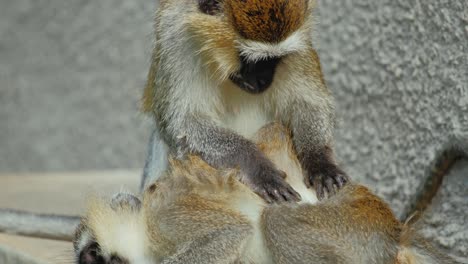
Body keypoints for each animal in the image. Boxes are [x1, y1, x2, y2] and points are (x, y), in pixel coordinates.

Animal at [74, 124, 458, 264]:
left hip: (354, 227)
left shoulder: (167, 217)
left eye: (92, 255)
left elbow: (229, 232)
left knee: (278, 222)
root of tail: (394, 230)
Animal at [141, 0, 350, 201]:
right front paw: (256, 166)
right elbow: (184, 125)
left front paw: (320, 161)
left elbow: (310, 103)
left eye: (276, 59)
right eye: (251, 61)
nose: (263, 81)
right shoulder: (174, 39)